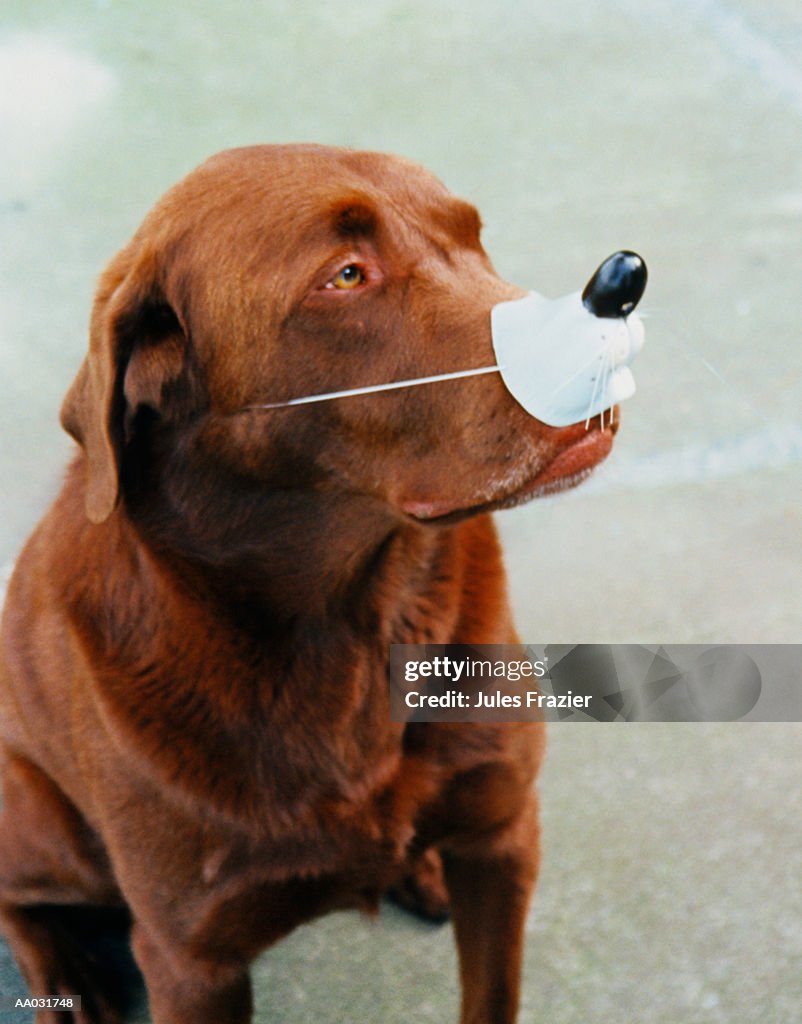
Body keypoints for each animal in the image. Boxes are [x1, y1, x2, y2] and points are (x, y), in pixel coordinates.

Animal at [0, 146, 618, 1024]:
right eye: (347, 275)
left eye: (473, 236)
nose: (616, 299)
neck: (351, 622)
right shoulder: (190, 958)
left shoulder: (504, 834)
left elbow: (490, 993)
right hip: (50, 829)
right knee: (15, 896)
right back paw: (66, 983)